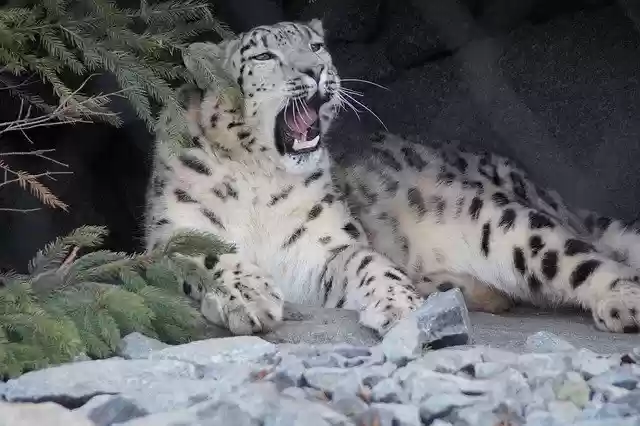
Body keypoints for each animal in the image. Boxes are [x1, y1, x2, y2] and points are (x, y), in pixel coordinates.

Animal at [144, 18, 640, 337]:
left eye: (316, 46)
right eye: (264, 55)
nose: (315, 71)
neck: (261, 177)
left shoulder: (325, 247)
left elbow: (370, 263)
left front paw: (400, 306)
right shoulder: (172, 234)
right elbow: (204, 256)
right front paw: (250, 297)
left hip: (503, 221)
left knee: (586, 257)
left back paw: (623, 302)